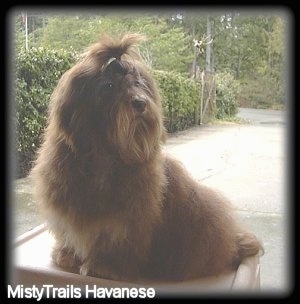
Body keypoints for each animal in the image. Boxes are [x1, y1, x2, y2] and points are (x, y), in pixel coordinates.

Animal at [31, 33, 262, 282]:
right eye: (109, 86)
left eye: (138, 84)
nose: (140, 103)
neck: (105, 152)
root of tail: (231, 241)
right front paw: (67, 255)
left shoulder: (129, 217)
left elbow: (115, 237)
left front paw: (104, 267)